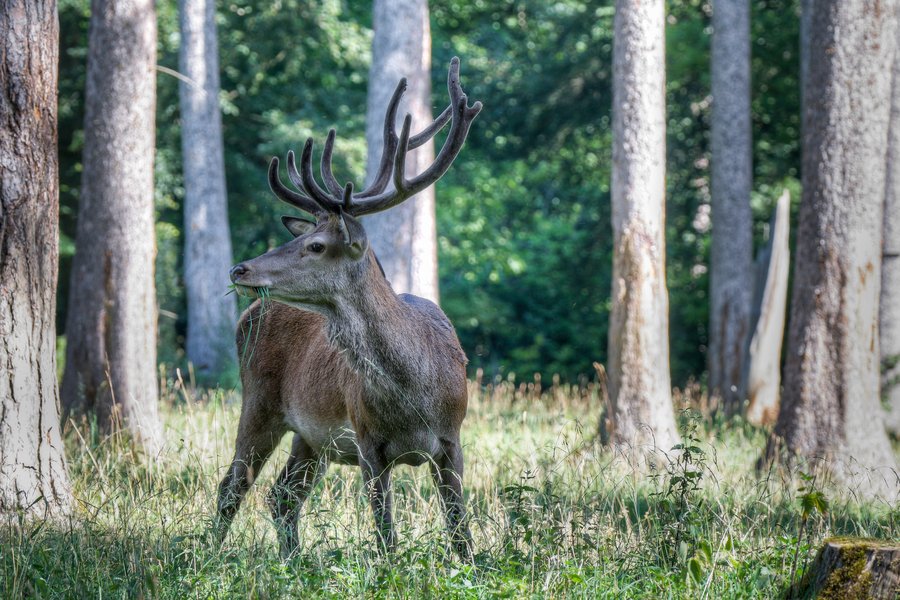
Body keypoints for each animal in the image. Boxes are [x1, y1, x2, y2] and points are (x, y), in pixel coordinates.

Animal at [214, 58, 482, 560]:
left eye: (316, 245)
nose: (240, 268)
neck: (415, 395)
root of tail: (246, 316)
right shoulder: (367, 441)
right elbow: (386, 535)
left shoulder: (452, 438)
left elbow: (460, 530)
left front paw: (474, 567)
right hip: (258, 401)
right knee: (233, 486)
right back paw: (206, 554)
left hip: (308, 435)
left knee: (281, 496)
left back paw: (293, 562)